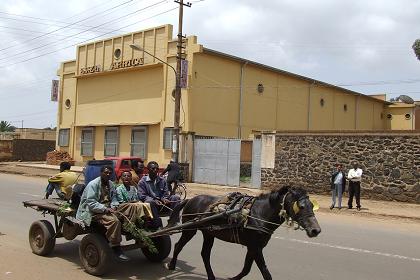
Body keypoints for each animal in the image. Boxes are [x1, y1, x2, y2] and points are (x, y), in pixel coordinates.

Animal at [167, 186, 322, 280]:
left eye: (312, 205)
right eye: (301, 206)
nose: (316, 230)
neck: (259, 214)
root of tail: (190, 199)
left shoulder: (253, 247)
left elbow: (246, 268)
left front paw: (233, 278)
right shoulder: (255, 247)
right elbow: (265, 272)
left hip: (209, 233)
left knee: (205, 254)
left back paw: (211, 276)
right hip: (189, 230)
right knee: (178, 246)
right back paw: (172, 265)